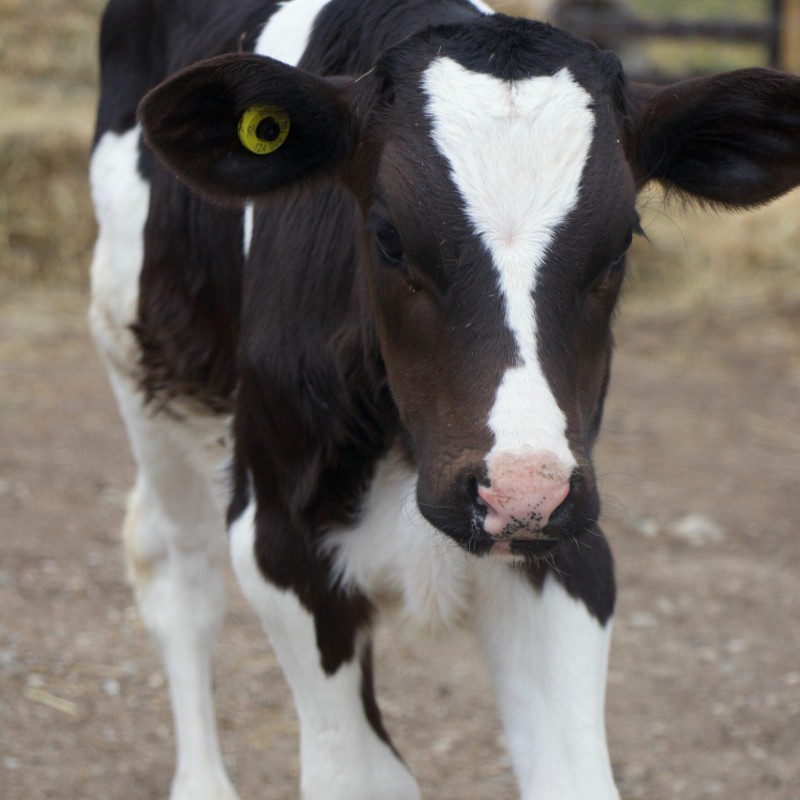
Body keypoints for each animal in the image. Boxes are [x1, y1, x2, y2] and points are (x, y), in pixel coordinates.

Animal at [88, 0, 800, 797]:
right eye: (390, 237)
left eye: (620, 244)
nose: (518, 494)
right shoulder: (281, 544)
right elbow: (360, 776)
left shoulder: (568, 541)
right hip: (145, 376)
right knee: (177, 571)